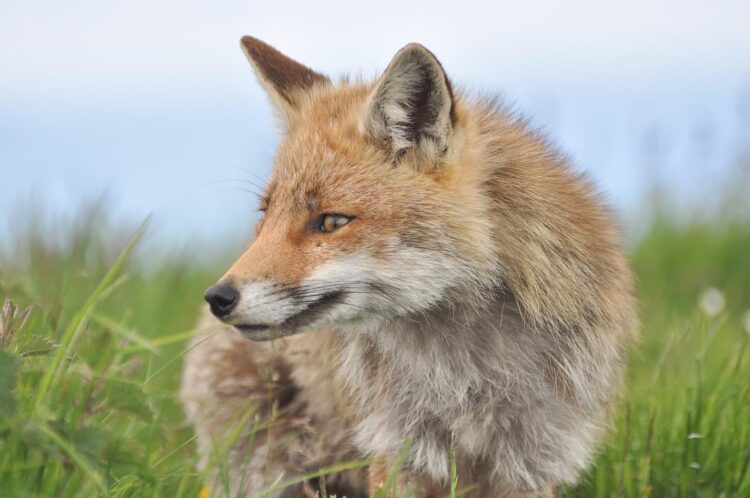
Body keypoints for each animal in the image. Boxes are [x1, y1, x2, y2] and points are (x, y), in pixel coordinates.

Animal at [181, 36, 638, 498]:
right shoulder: (398, 448)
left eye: (331, 222)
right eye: (266, 214)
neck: (469, 374)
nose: (218, 297)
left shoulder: (533, 458)